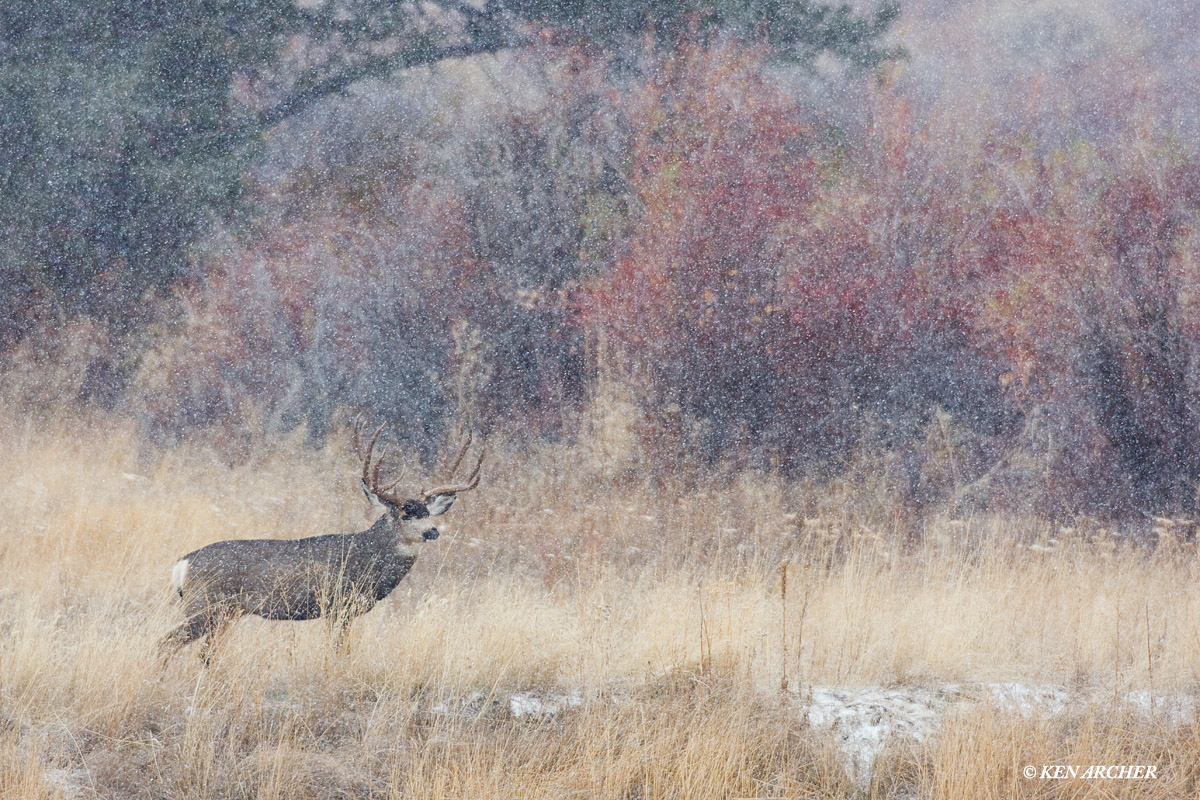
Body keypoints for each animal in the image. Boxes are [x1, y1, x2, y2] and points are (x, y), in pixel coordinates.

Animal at [160, 419, 482, 663]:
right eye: (404, 514)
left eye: (427, 512)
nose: (432, 531)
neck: (365, 558)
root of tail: (182, 563)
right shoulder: (338, 604)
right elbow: (339, 651)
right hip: (205, 605)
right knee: (167, 642)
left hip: (224, 613)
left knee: (204, 652)